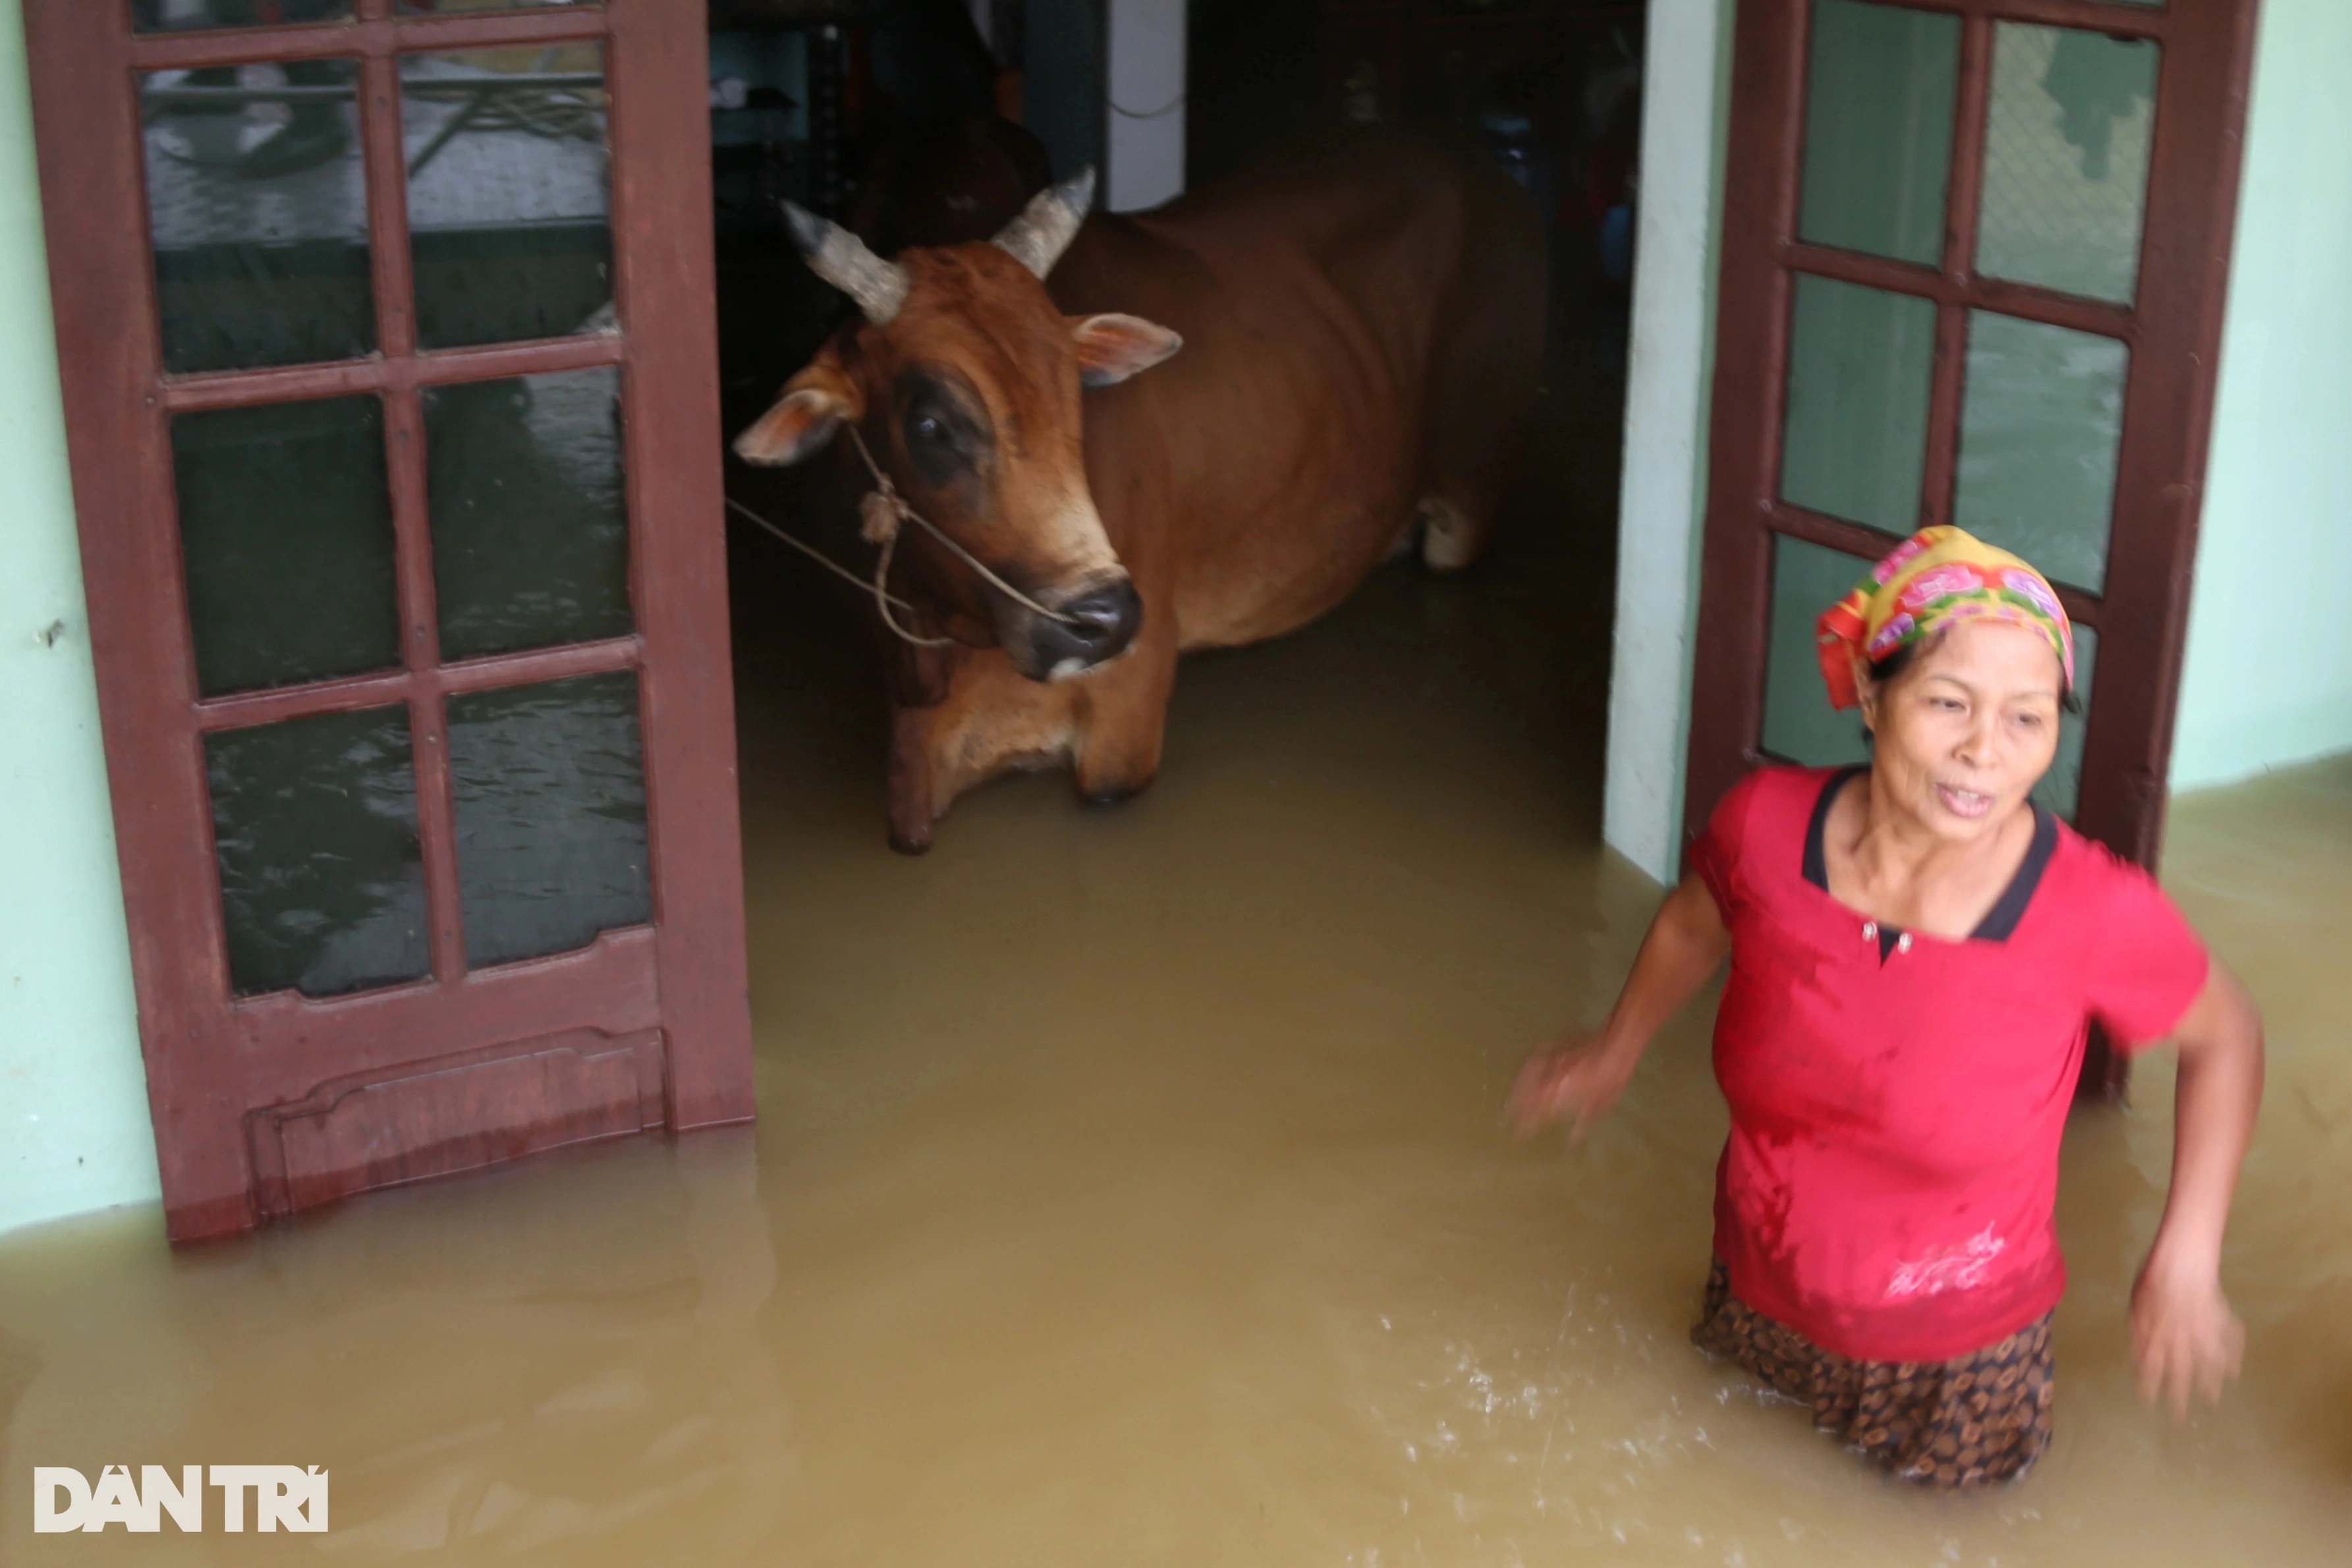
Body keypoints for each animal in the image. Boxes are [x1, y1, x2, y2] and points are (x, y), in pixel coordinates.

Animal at [733, 136, 1542, 851]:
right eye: (929, 423)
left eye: (1074, 394)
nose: (1105, 618)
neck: (938, 635)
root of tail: (1474, 166)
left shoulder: (1123, 720)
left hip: (1467, 507)